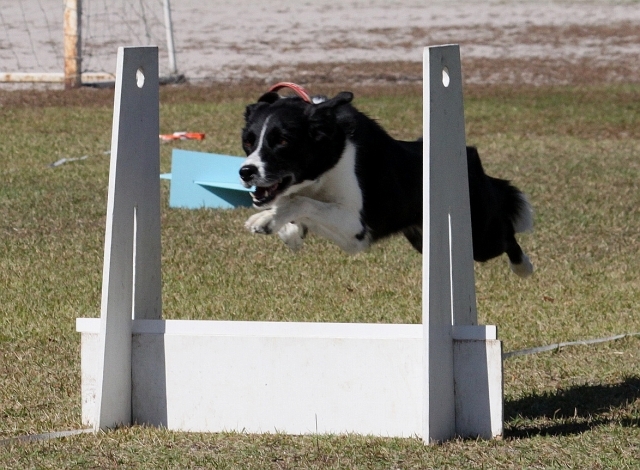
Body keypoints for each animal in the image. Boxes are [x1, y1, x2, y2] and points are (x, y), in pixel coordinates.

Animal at [238, 84, 532, 276]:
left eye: (283, 142)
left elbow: (301, 202)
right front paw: (283, 227)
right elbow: (295, 207)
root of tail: (471, 160)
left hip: (480, 235)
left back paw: (523, 267)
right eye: (248, 141)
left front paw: (263, 220)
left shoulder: (356, 228)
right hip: (424, 238)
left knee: (506, 233)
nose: (246, 172)